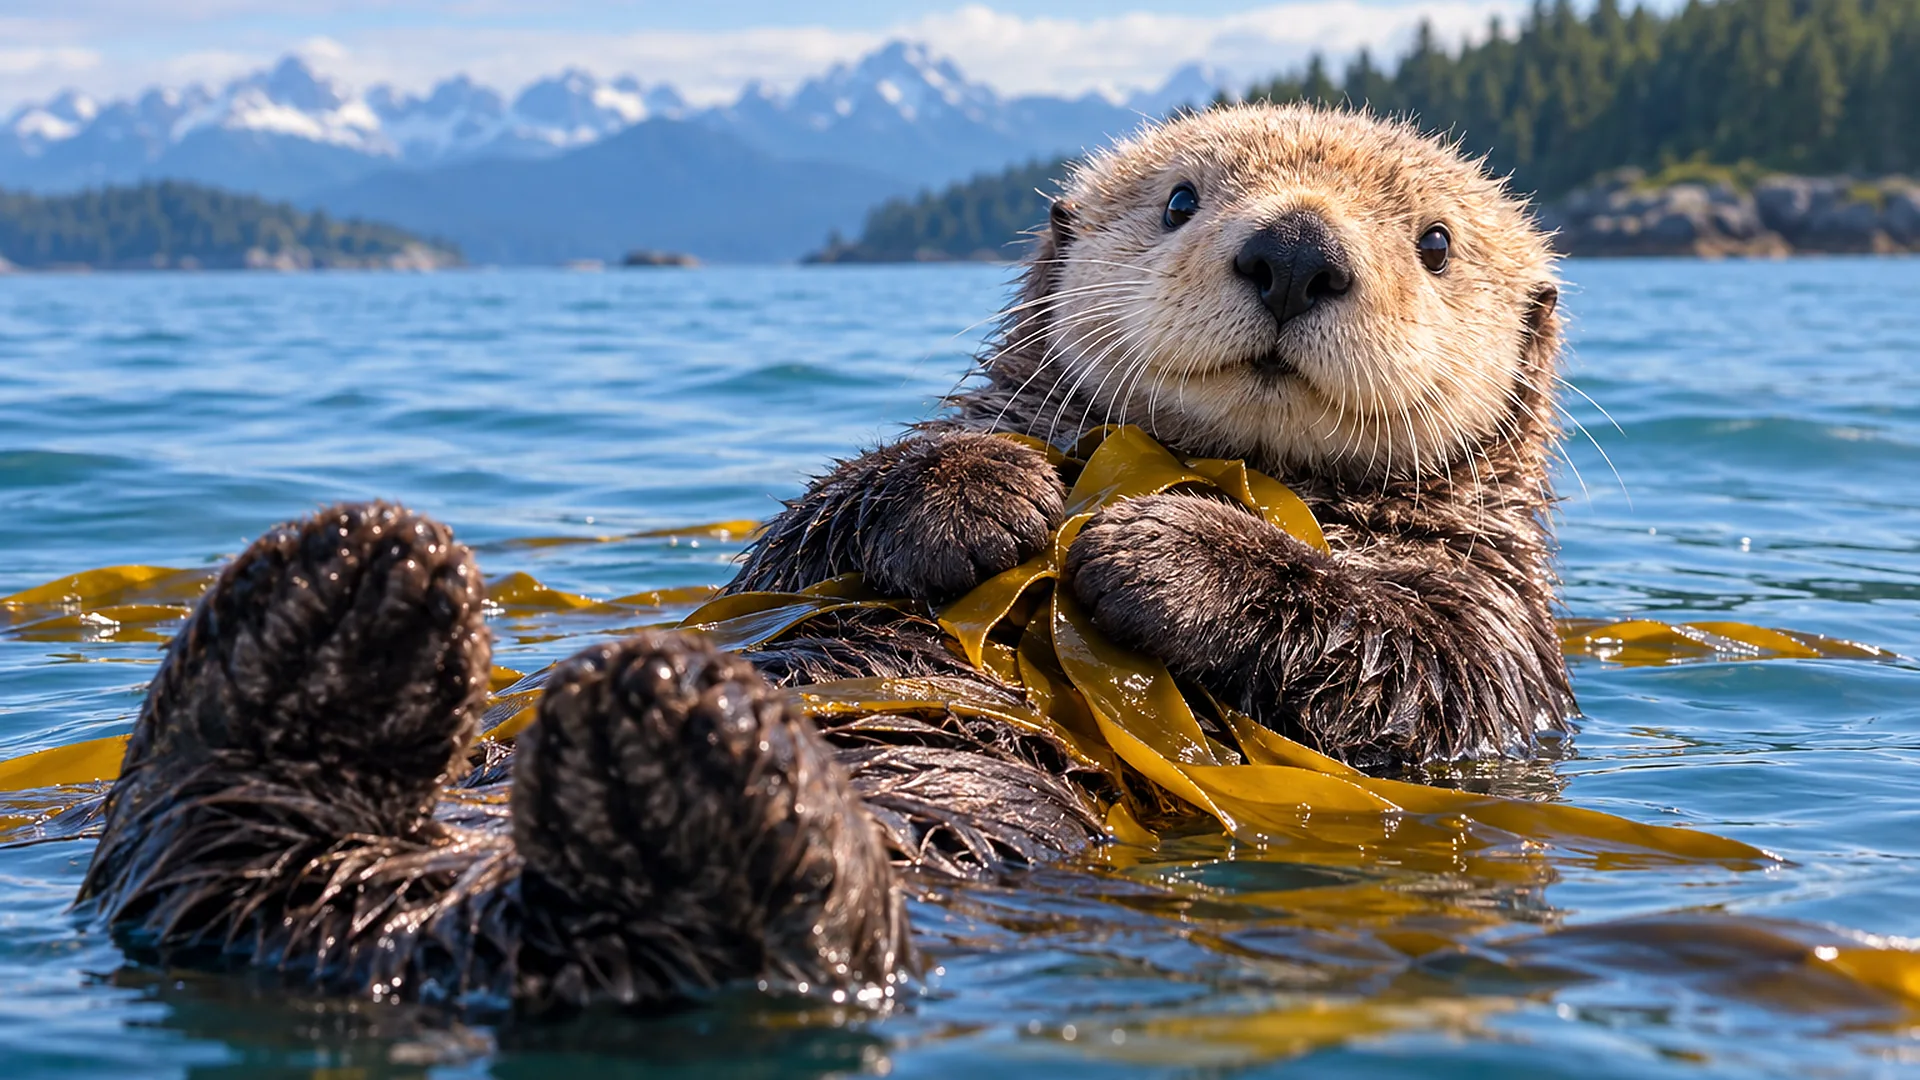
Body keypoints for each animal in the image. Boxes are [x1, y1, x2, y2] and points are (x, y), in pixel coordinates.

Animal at [78, 104, 1575, 1018]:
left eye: (1435, 243)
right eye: (1181, 200)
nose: (1296, 248)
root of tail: (414, 935)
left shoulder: (1496, 622)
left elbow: (1407, 651)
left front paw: (1160, 545)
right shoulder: (807, 546)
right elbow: (801, 541)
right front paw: (995, 496)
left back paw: (665, 758)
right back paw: (348, 603)